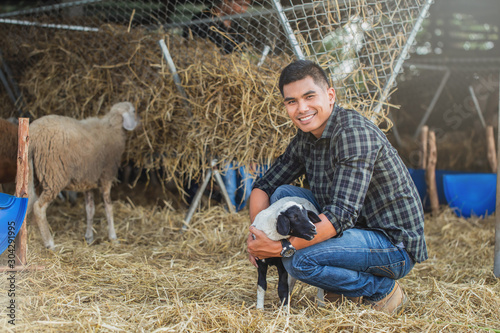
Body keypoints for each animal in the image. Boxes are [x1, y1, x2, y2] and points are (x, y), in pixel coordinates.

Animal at [28, 101, 140, 249]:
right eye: (133, 111)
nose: (139, 121)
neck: (111, 127)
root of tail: (33, 134)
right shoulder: (106, 176)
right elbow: (108, 208)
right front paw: (113, 237)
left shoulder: (88, 181)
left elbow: (90, 209)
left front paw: (89, 237)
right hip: (54, 174)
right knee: (38, 207)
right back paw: (49, 242)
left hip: (34, 174)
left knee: (28, 200)